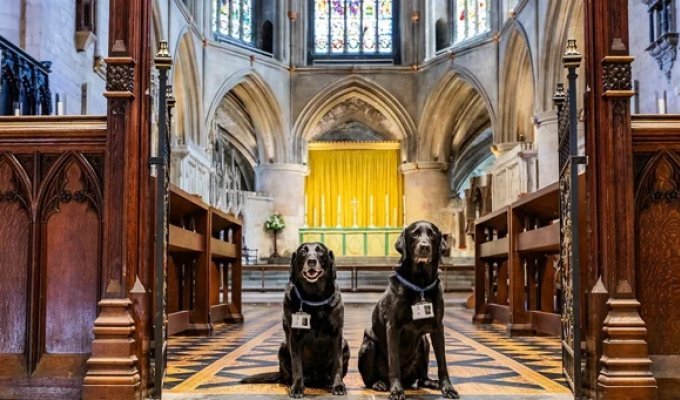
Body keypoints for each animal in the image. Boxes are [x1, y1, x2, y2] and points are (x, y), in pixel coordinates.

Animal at [240, 242, 350, 398]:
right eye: (303, 251)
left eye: (320, 251)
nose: (311, 261)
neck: (314, 298)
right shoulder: (294, 337)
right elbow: (297, 365)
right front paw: (297, 387)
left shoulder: (337, 334)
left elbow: (337, 363)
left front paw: (338, 385)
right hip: (283, 347)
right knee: (287, 376)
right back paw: (290, 383)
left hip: (345, 344)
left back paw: (329, 382)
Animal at [356, 222, 462, 400]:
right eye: (414, 234)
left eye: (432, 235)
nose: (424, 247)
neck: (420, 285)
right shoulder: (392, 327)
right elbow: (394, 363)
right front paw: (396, 390)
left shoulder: (438, 328)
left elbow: (442, 362)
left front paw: (448, 388)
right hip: (367, 347)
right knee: (369, 379)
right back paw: (379, 383)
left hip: (424, 343)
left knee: (421, 378)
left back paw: (431, 382)